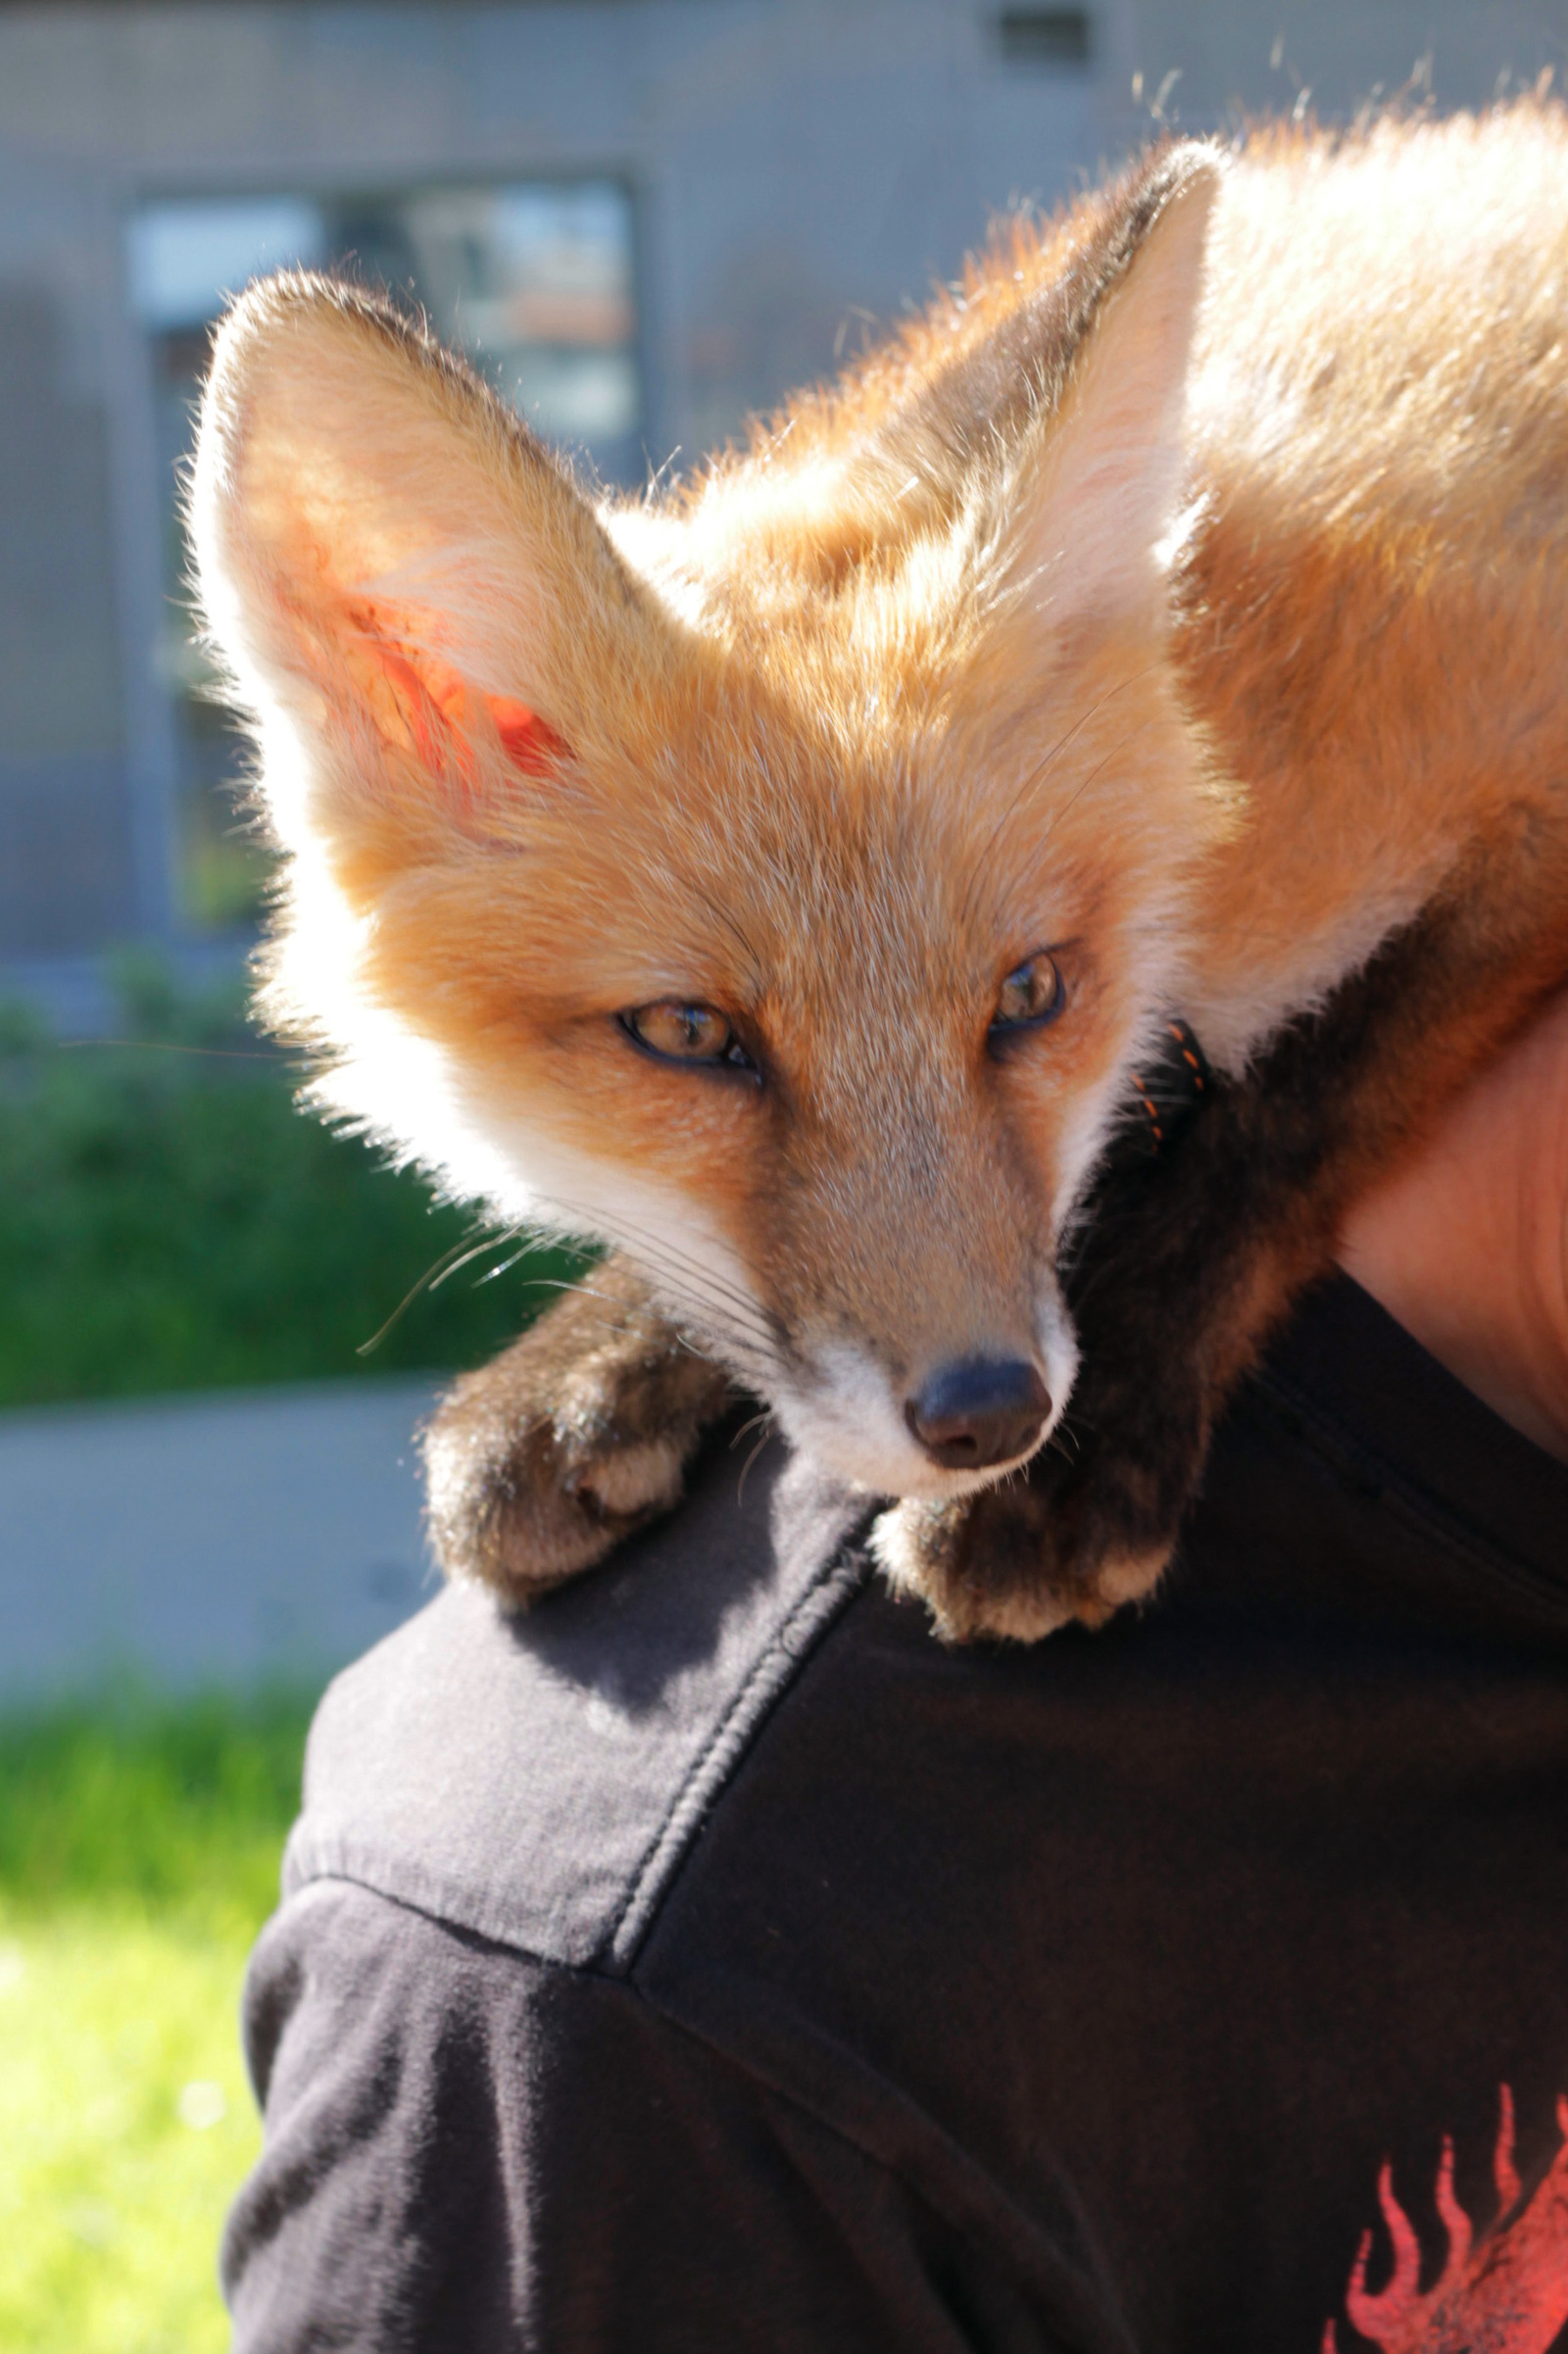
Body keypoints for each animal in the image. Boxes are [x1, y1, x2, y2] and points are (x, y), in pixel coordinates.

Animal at [189, 106, 1563, 1638]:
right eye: (689, 1036)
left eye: (1031, 994)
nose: (993, 1416)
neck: (1225, 699)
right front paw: (592, 1361)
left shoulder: (1527, 783)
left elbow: (1291, 1109)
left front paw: (1086, 1458)